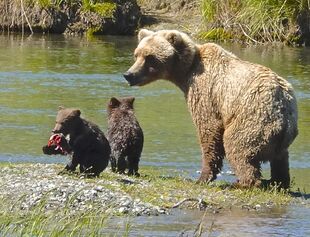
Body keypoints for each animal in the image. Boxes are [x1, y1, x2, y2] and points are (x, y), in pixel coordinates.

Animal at [123, 28, 298, 188]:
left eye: (150, 57)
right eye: (137, 54)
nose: (129, 74)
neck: (185, 72)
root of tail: (284, 108)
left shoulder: (205, 91)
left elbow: (209, 128)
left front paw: (202, 177)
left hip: (253, 118)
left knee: (237, 147)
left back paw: (243, 183)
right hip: (280, 135)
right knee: (281, 160)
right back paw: (277, 181)